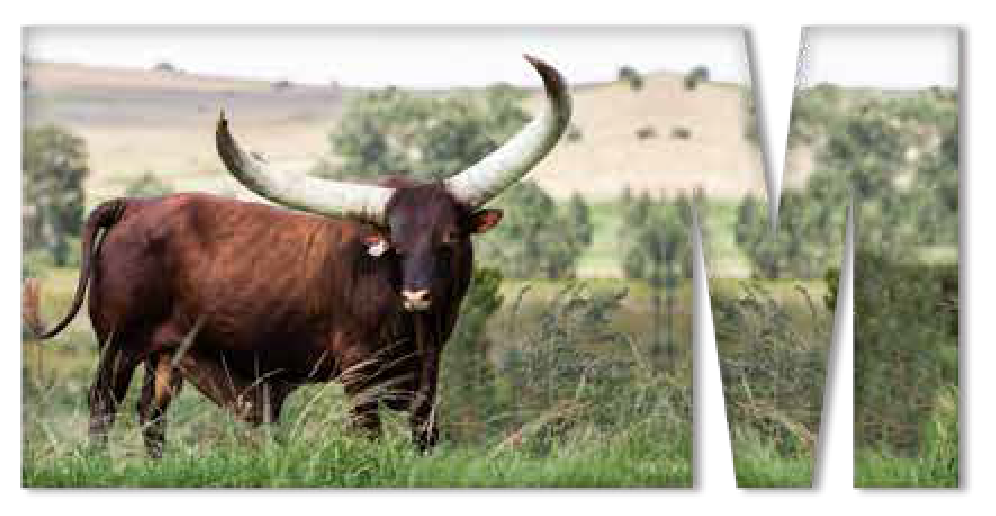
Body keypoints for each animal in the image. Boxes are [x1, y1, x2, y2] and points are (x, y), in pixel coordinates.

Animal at [22, 56, 571, 457]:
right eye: (394, 242)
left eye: (449, 238)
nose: (417, 294)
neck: (416, 326)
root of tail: (134, 204)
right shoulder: (359, 372)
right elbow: (369, 437)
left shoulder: (428, 377)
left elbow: (424, 435)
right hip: (118, 343)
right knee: (103, 405)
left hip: (165, 355)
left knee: (150, 413)